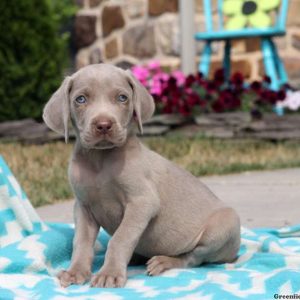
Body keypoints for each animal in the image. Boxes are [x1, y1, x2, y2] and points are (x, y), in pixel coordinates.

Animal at [42, 63, 241, 288]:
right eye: (80, 99)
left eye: (122, 98)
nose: (103, 125)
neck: (101, 160)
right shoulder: (84, 206)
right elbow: (82, 242)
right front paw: (76, 271)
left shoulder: (142, 202)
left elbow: (120, 238)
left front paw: (109, 273)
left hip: (224, 226)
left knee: (192, 258)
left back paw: (164, 261)